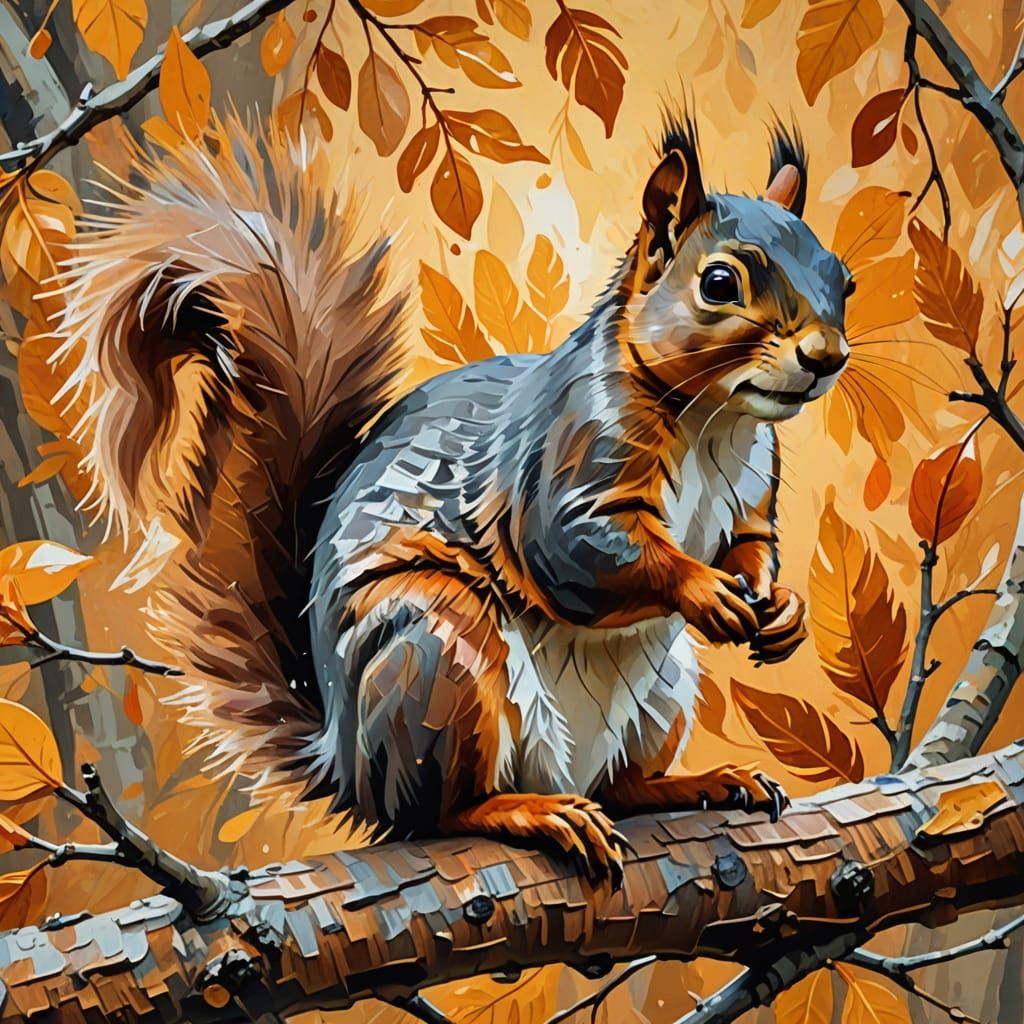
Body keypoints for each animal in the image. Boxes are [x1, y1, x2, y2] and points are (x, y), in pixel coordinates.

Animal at [54, 109, 851, 883]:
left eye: (840, 278)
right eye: (718, 284)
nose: (827, 358)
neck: (713, 418)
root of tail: (344, 759)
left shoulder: (752, 490)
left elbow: (752, 545)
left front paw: (780, 609)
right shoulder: (560, 462)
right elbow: (581, 551)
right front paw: (703, 589)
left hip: (661, 691)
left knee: (620, 790)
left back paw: (697, 783)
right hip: (438, 657)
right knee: (438, 813)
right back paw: (531, 812)